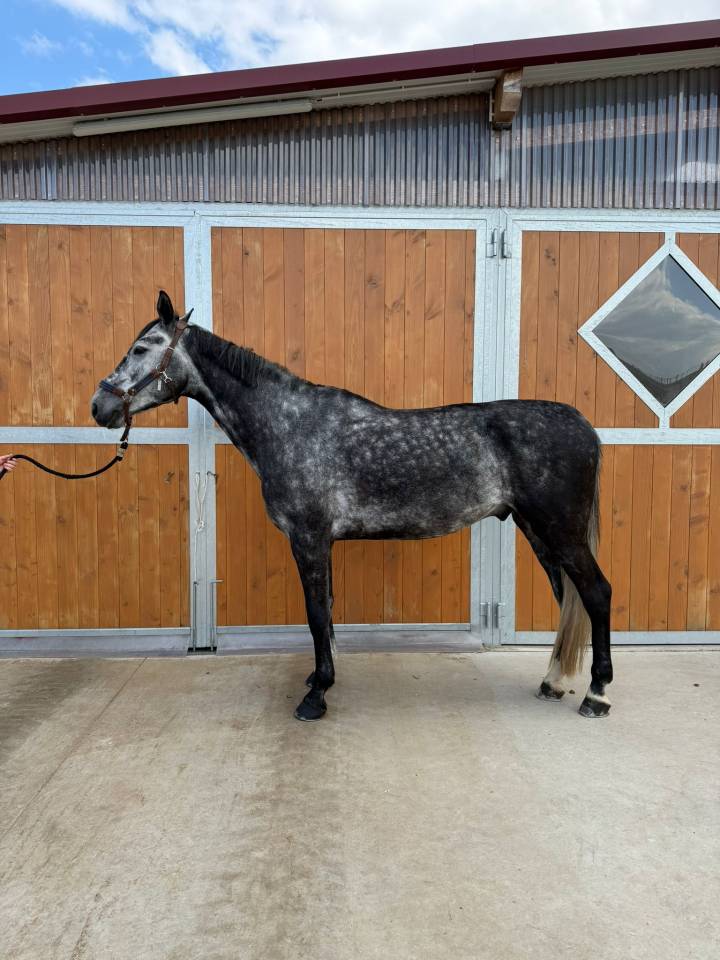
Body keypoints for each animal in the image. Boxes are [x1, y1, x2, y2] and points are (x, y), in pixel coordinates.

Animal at [92, 291, 612, 723]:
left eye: (142, 348)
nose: (99, 406)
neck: (291, 425)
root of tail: (584, 424)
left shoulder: (309, 538)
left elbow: (315, 613)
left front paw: (315, 695)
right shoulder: (320, 542)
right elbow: (326, 611)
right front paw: (319, 678)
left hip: (560, 531)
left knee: (596, 593)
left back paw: (596, 695)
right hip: (538, 531)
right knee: (567, 596)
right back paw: (554, 682)